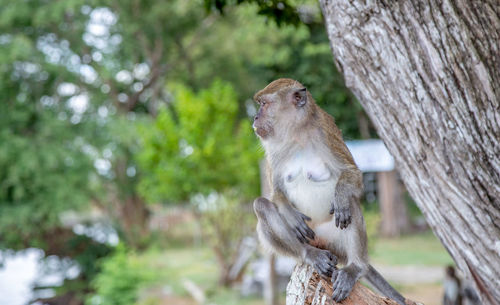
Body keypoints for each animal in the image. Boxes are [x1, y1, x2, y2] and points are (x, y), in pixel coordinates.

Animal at [252, 79, 404, 304]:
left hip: (335, 241)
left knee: (350, 204)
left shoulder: (326, 133)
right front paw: (289, 213)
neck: (296, 133)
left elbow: (353, 176)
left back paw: (355, 266)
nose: (255, 117)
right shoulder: (272, 151)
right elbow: (276, 192)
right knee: (261, 205)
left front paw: (340, 195)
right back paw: (310, 254)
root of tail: (322, 243)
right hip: (312, 239)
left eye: (264, 104)